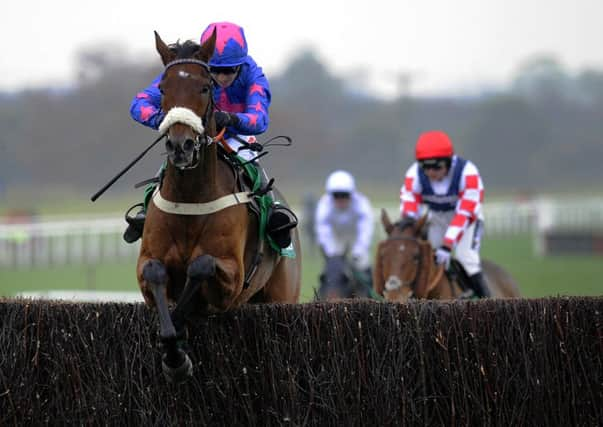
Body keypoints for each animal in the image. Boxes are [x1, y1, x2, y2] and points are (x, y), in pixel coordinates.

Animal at [137, 30, 302, 384]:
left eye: (205, 86)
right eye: (162, 88)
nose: (180, 146)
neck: (191, 197)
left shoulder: (232, 279)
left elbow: (200, 267)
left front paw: (178, 345)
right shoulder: (146, 265)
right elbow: (156, 273)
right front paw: (174, 350)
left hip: (282, 293)